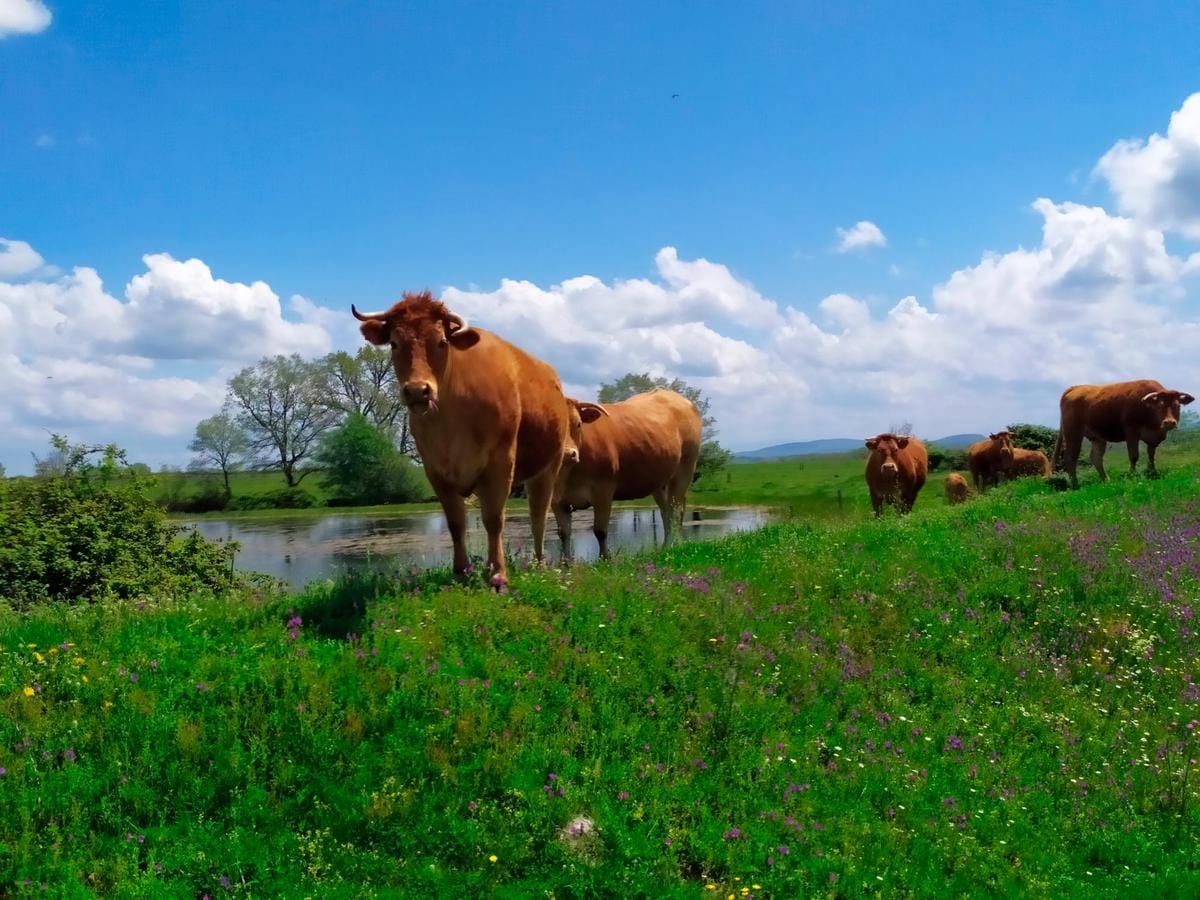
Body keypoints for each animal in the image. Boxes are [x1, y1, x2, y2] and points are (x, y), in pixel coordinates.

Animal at [554, 391, 700, 561]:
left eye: (578, 424)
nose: (567, 454)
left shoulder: (603, 491)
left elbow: (600, 530)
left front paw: (605, 559)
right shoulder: (556, 500)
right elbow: (563, 534)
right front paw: (566, 564)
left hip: (685, 468)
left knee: (676, 509)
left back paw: (674, 544)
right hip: (659, 480)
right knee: (666, 511)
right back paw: (666, 546)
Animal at [1056, 379, 1195, 489]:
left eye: (1177, 405)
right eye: (1159, 406)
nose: (1169, 422)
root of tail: (1076, 388)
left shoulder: (1153, 437)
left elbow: (1151, 455)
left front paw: (1152, 471)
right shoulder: (1131, 432)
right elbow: (1134, 456)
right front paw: (1133, 475)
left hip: (1097, 437)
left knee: (1096, 458)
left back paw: (1106, 480)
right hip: (1073, 432)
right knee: (1070, 457)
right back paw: (1075, 484)